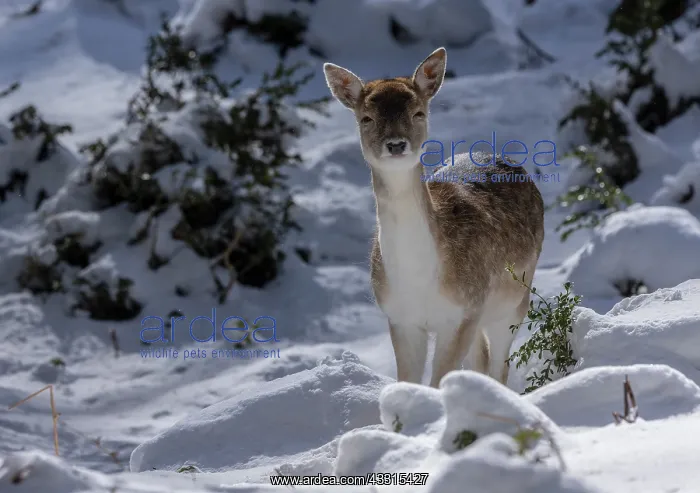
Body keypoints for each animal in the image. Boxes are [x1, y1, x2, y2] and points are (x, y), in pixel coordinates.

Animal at [323, 48, 544, 388]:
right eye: (366, 118)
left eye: (418, 113)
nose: (396, 144)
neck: (421, 279)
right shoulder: (400, 317)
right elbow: (408, 381)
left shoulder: (463, 309)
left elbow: (438, 380)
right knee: (481, 359)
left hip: (514, 298)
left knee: (499, 364)